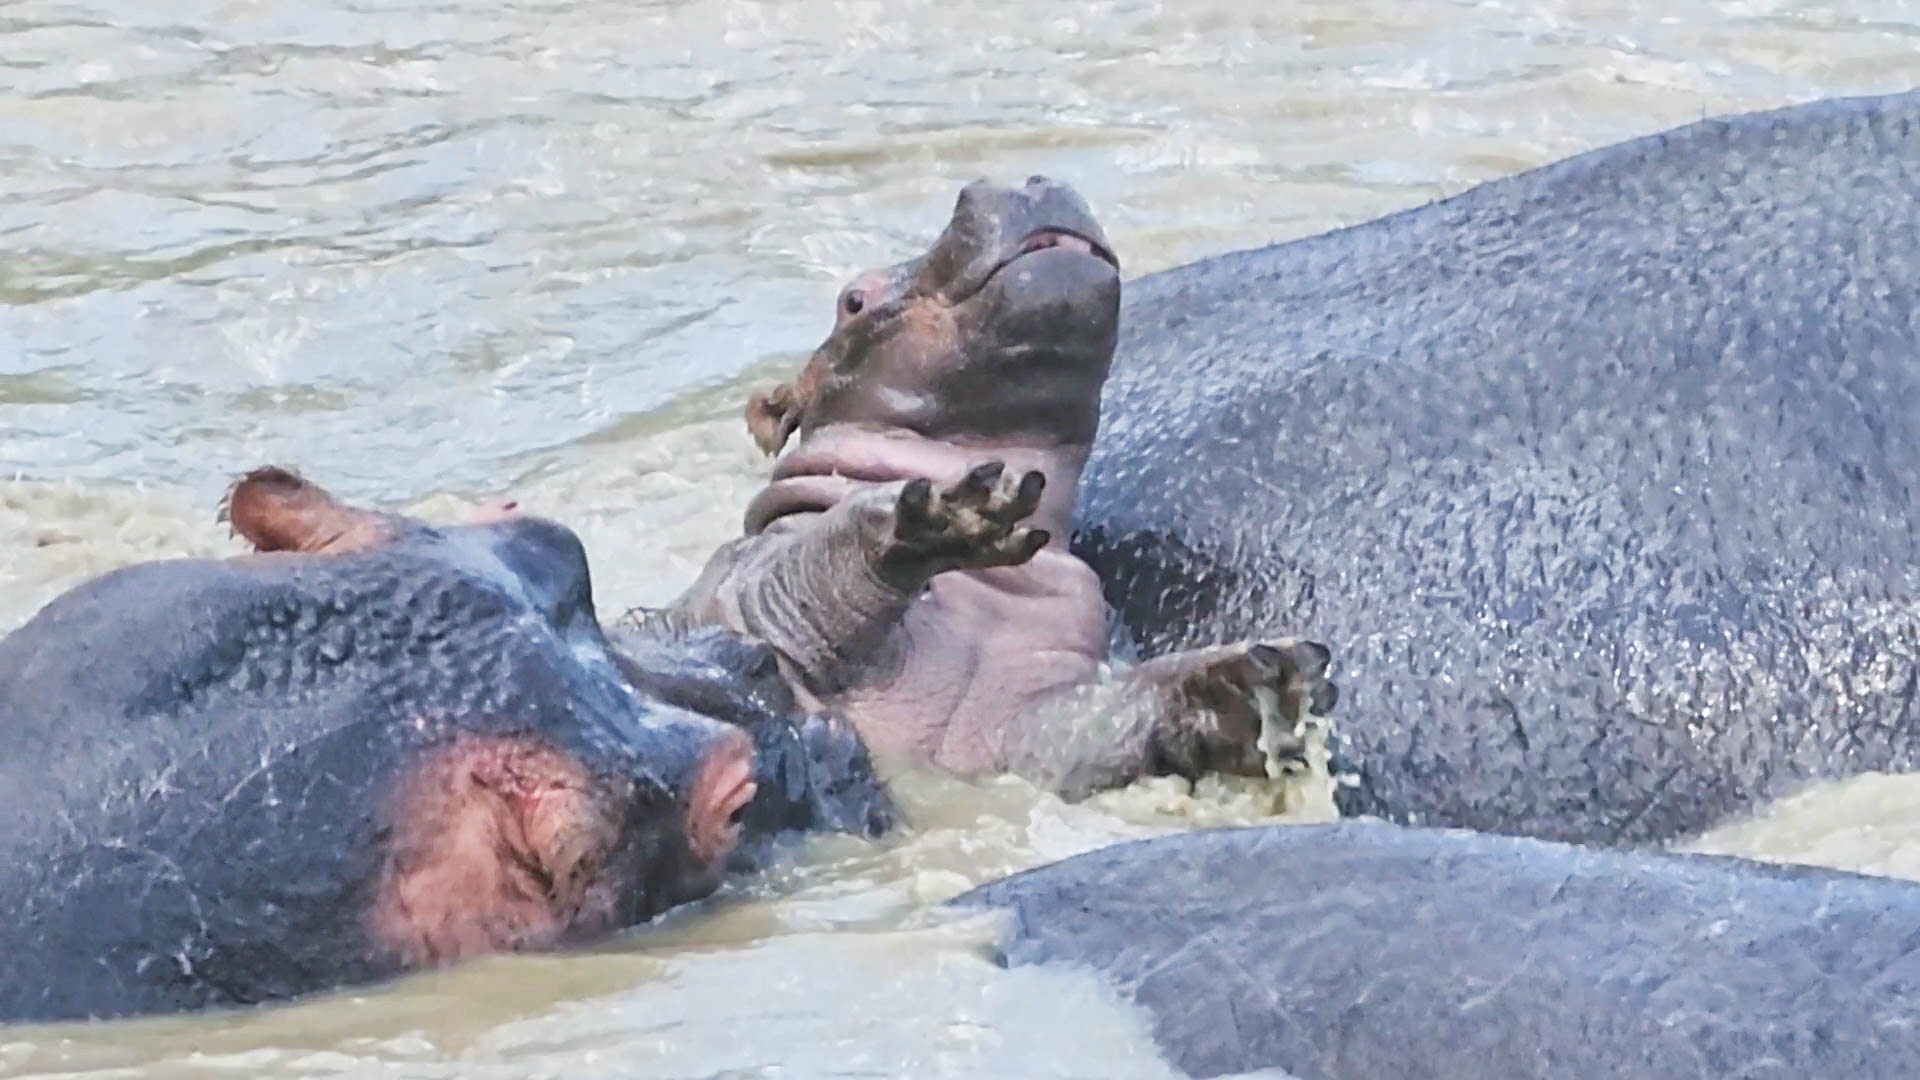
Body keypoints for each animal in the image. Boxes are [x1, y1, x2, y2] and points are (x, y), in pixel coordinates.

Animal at [629, 176, 1336, 795]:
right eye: (854, 298)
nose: (1022, 181)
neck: (990, 599)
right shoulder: (737, 597)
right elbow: (800, 578)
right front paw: (944, 512)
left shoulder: (1016, 721)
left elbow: (1083, 730)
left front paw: (1253, 684)